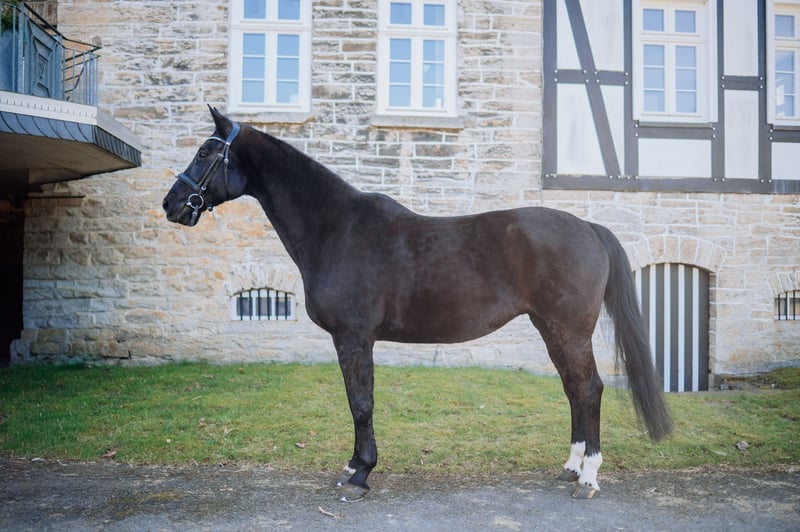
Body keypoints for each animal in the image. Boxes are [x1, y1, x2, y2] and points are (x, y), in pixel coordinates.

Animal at [163, 106, 672, 501]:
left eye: (206, 152)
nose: (172, 204)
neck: (337, 229)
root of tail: (588, 227)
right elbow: (358, 401)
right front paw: (353, 466)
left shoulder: (353, 338)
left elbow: (360, 402)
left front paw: (360, 474)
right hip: (551, 328)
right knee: (573, 390)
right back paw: (570, 466)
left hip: (569, 329)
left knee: (589, 389)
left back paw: (588, 477)